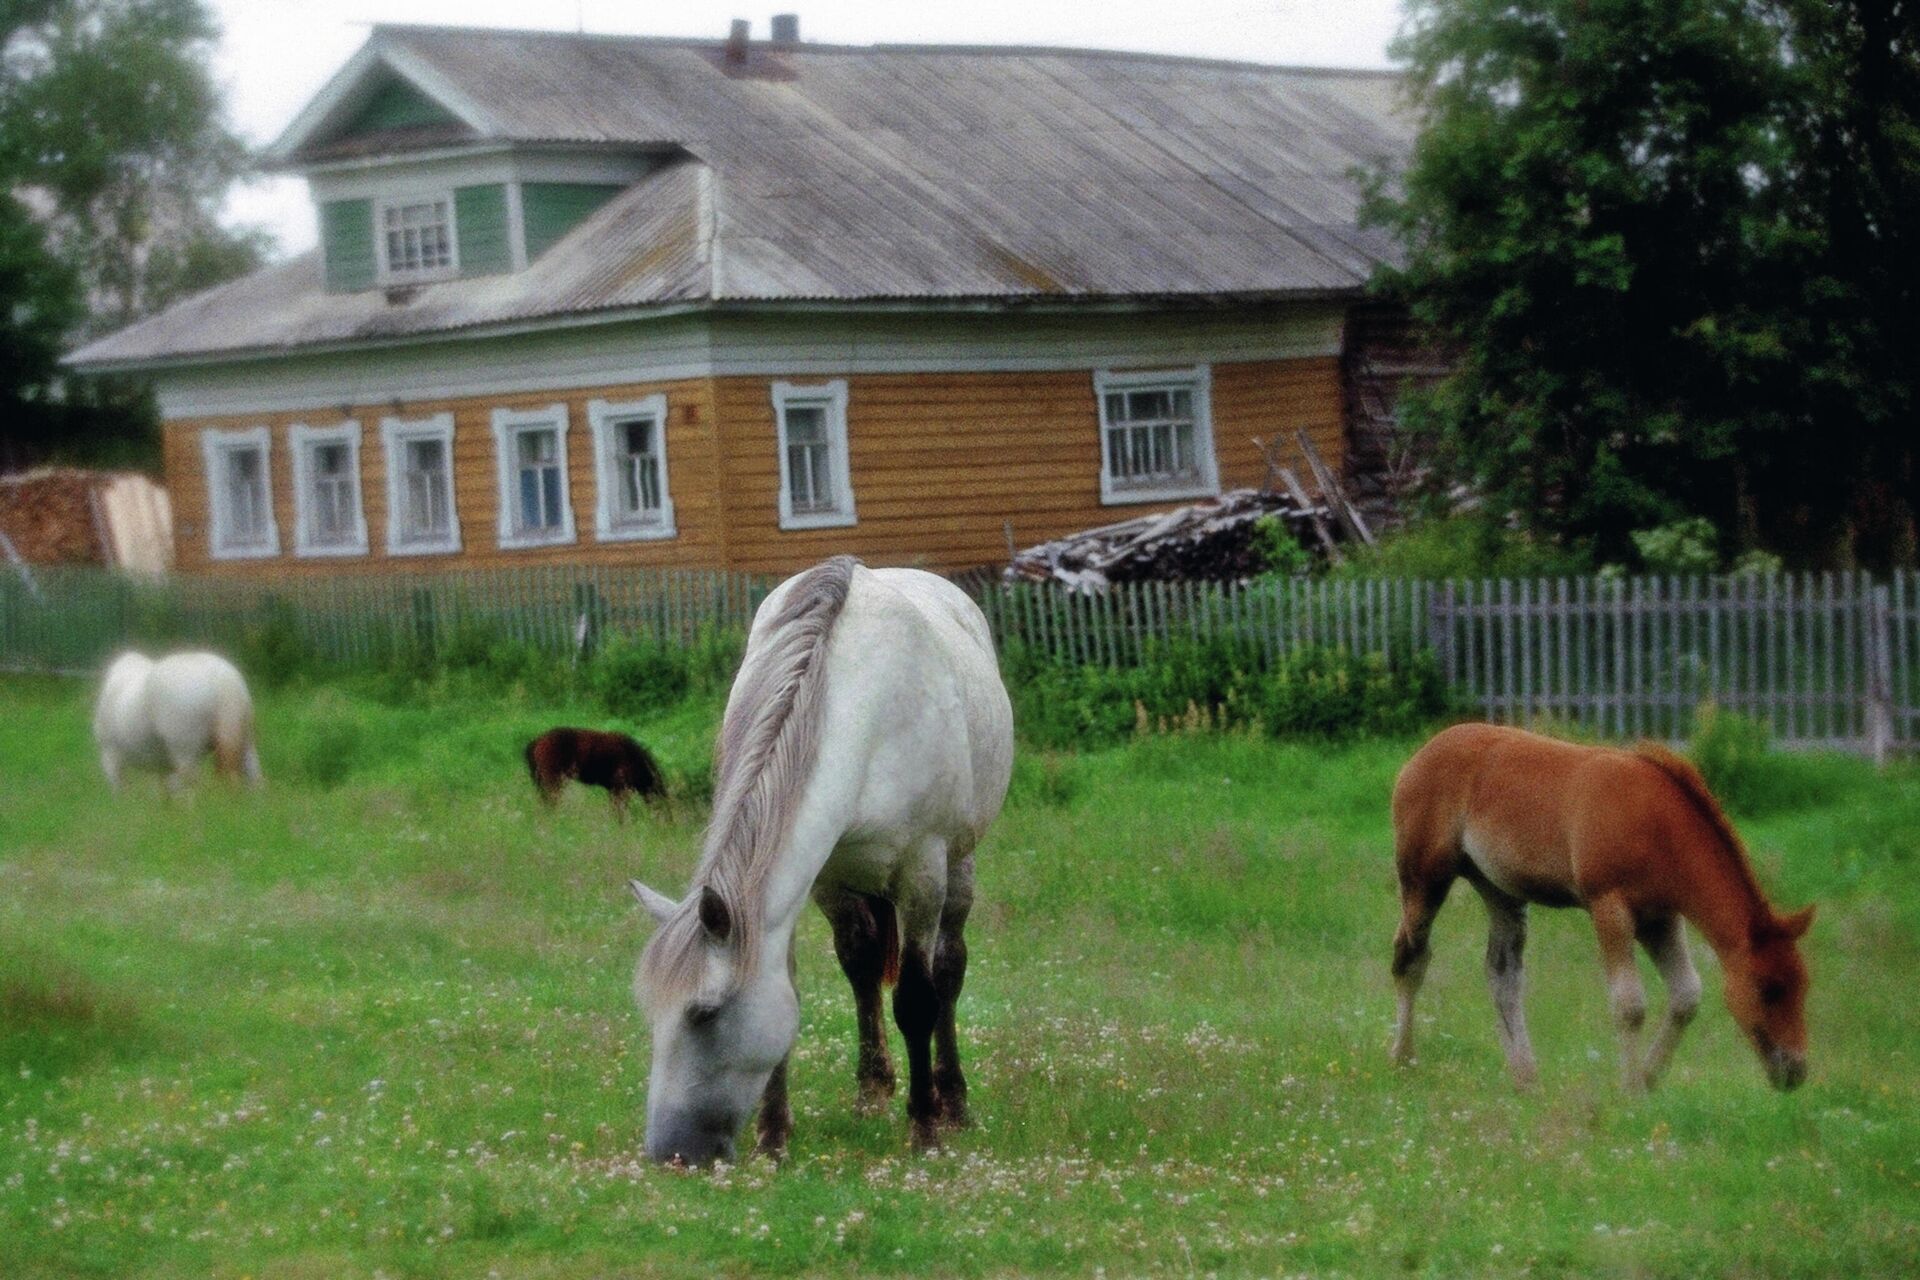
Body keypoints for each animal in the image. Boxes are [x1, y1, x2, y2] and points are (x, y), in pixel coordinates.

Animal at [94, 652, 263, 790]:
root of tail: (224, 682)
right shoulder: (162, 765)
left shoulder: (110, 757)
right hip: (245, 743)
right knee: (255, 780)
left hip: (184, 753)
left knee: (189, 789)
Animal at [526, 729, 668, 821]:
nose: (669, 822)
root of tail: (536, 741)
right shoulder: (619, 788)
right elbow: (620, 810)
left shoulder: (614, 789)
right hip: (553, 780)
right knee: (550, 801)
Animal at [629, 556, 1021, 1166]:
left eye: (704, 1013)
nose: (671, 1154)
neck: (856, 708)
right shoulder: (818, 877)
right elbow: (810, 981)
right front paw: (773, 1133)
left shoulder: (923, 871)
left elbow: (917, 998)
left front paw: (925, 1127)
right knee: (862, 964)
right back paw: (871, 1090)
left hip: (960, 863)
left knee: (949, 969)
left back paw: (953, 1102)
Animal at [1390, 725, 1804, 1097]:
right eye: (1769, 989)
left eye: (1804, 985)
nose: (1796, 1070)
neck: (1655, 822)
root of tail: (1418, 757)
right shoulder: (1609, 907)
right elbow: (1629, 1004)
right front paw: (1632, 1092)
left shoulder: (1661, 918)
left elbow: (1686, 995)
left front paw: (1649, 1078)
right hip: (1425, 877)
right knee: (1411, 957)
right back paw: (1403, 1059)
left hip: (1501, 893)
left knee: (1502, 976)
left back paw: (1527, 1080)